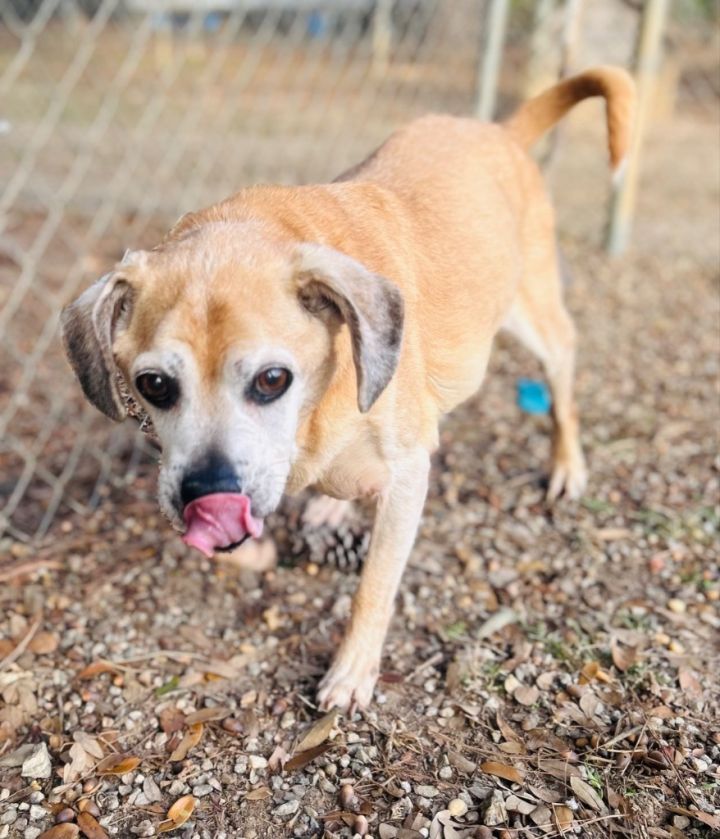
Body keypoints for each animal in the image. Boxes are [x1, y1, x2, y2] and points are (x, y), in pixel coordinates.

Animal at [63, 65, 636, 712]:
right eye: (154, 385)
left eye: (272, 379)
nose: (206, 494)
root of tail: (501, 133)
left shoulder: (408, 477)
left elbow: (375, 586)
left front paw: (352, 670)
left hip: (535, 317)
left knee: (562, 376)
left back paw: (567, 465)